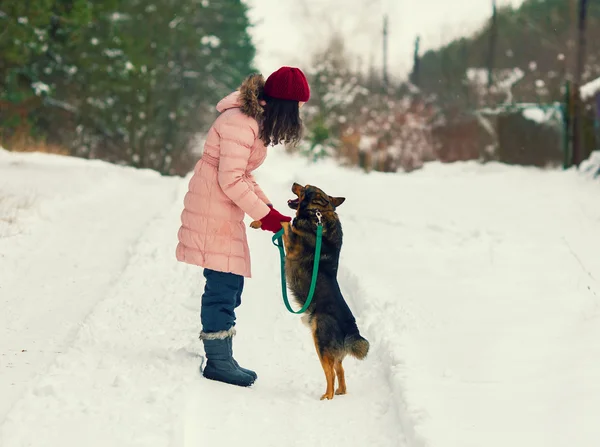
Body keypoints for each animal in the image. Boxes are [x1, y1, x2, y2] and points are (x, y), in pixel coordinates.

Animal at [251, 184, 368, 400]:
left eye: (305, 188)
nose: (295, 183)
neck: (318, 214)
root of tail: (351, 328)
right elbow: (283, 221)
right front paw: (258, 221)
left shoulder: (291, 243)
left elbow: (285, 222)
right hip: (331, 351)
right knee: (340, 370)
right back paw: (340, 391)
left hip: (320, 343)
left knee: (330, 373)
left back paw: (327, 397)